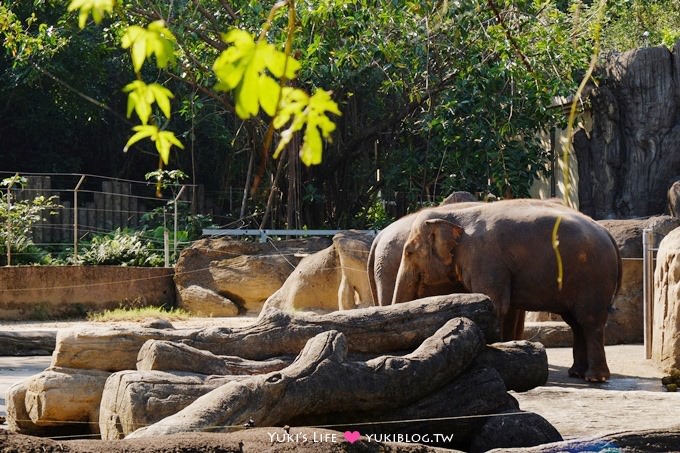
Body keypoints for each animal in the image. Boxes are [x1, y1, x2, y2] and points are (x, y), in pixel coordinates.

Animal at [394, 200, 620, 380]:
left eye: (409, 252)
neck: (456, 216)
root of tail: (607, 234)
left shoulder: (485, 260)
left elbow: (495, 304)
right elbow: (504, 307)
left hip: (593, 279)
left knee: (589, 321)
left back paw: (594, 378)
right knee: (575, 323)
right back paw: (576, 373)